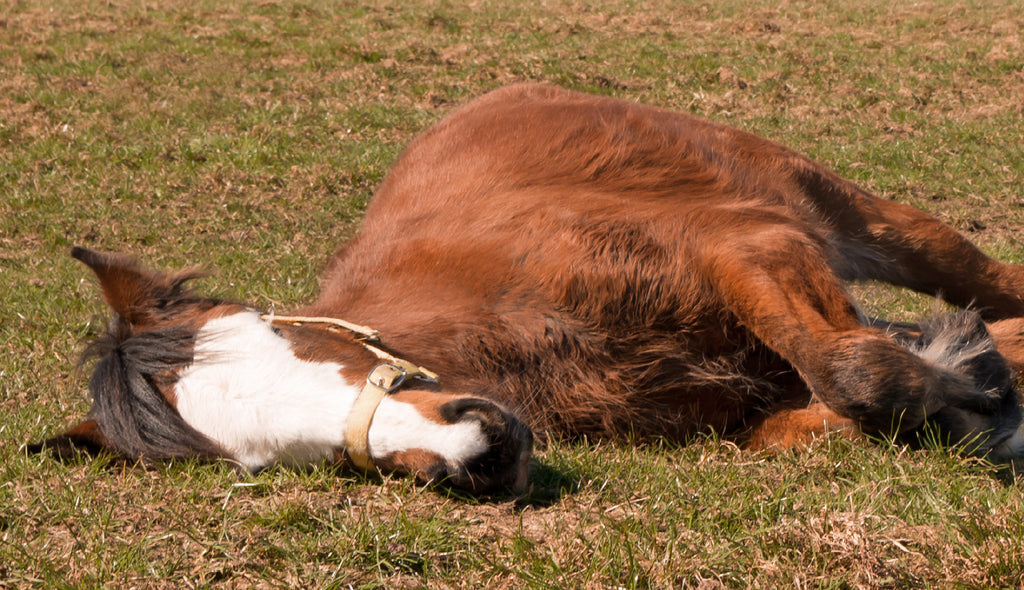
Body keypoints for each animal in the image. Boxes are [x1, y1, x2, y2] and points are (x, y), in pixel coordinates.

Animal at [28, 83, 1024, 493]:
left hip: (837, 209)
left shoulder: (750, 244)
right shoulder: (746, 404)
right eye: (259, 462)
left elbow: (864, 370)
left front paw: (970, 377)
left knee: (980, 277)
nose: (477, 450)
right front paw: (971, 387)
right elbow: (846, 401)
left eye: (298, 340)